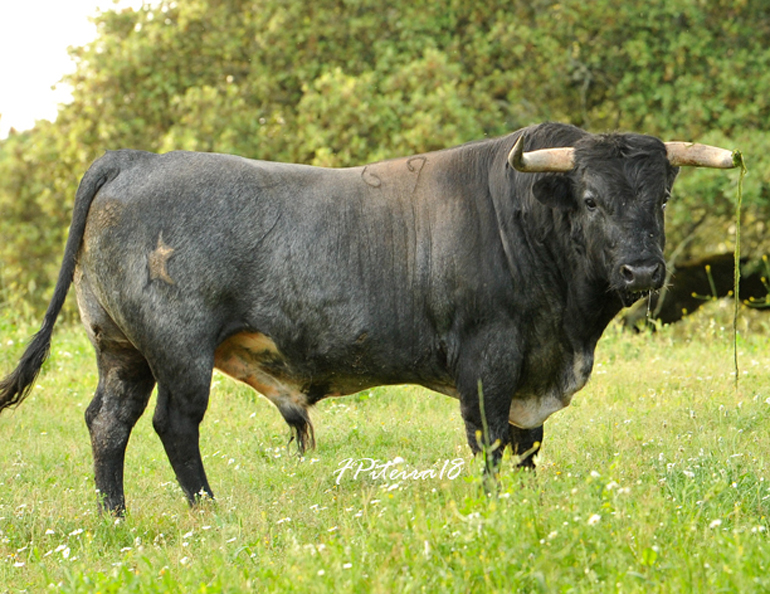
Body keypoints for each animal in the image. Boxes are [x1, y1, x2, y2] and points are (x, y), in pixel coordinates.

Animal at [0, 123, 738, 514]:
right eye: (589, 198)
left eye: (661, 196)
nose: (642, 272)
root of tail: (138, 159)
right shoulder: (490, 359)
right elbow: (491, 442)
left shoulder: (532, 369)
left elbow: (526, 446)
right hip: (178, 351)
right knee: (172, 426)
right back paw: (206, 511)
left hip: (119, 348)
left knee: (108, 423)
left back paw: (114, 516)